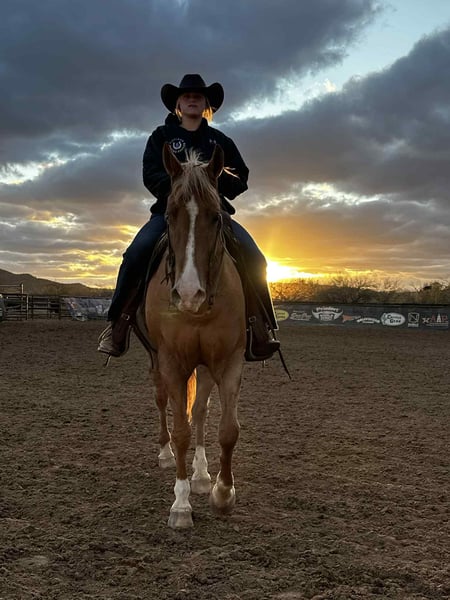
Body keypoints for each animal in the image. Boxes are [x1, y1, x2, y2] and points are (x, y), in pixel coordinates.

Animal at [143, 143, 246, 528]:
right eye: (169, 215)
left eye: (216, 216)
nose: (189, 294)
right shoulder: (173, 362)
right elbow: (182, 431)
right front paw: (181, 505)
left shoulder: (229, 361)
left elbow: (227, 429)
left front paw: (222, 492)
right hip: (157, 360)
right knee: (162, 402)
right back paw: (164, 454)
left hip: (203, 367)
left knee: (200, 411)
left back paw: (202, 476)